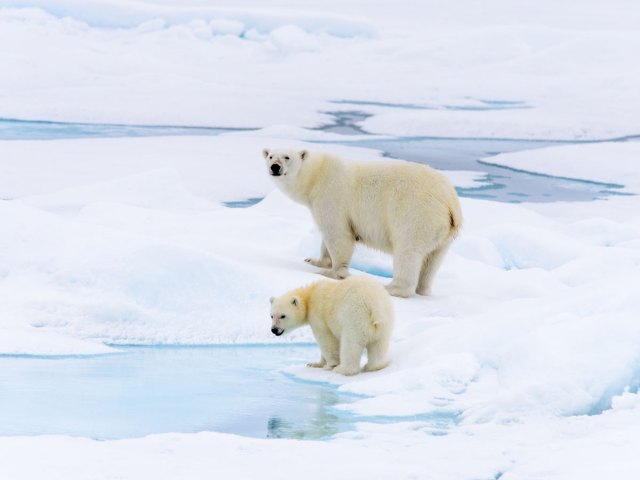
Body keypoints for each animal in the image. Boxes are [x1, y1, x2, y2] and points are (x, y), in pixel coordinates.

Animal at [262, 148, 462, 298]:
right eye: (270, 155)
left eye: (287, 156)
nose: (275, 167)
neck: (317, 174)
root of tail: (450, 202)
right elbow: (326, 239)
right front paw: (314, 260)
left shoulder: (331, 195)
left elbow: (338, 233)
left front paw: (332, 273)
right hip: (443, 233)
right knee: (432, 260)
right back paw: (423, 289)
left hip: (417, 215)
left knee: (408, 252)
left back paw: (391, 287)